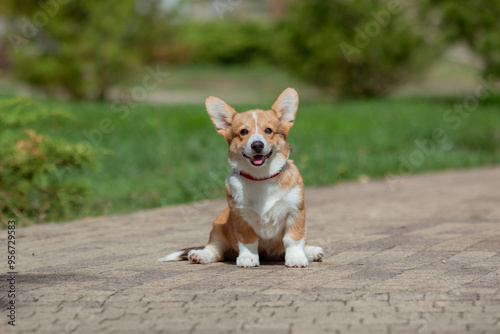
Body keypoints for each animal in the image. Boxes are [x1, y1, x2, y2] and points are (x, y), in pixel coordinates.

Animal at [158, 87, 326, 268]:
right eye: (243, 132)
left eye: (268, 130)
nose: (257, 145)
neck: (262, 178)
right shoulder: (241, 216)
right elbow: (247, 241)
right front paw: (248, 258)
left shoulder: (295, 212)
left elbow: (293, 239)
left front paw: (296, 257)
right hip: (218, 225)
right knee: (215, 249)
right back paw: (201, 254)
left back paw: (311, 251)